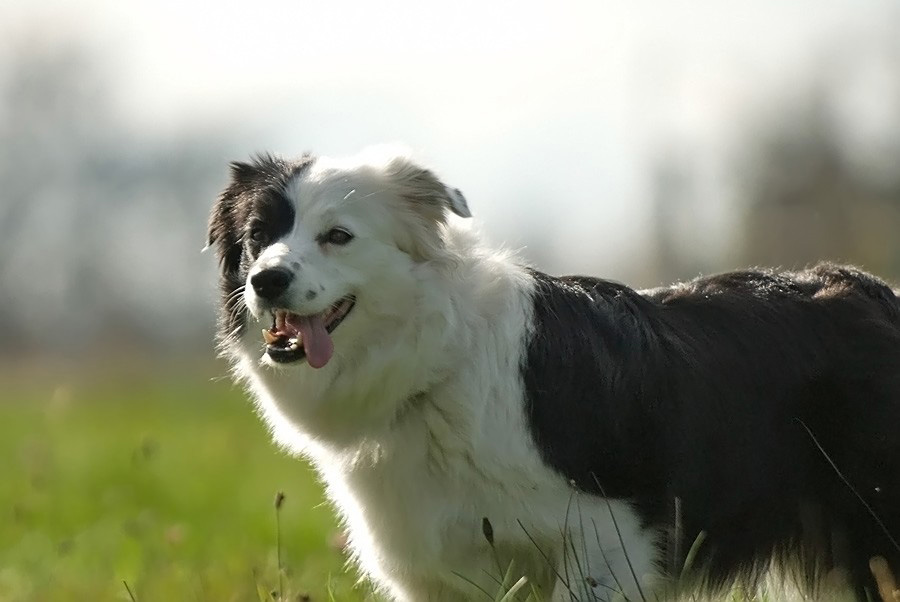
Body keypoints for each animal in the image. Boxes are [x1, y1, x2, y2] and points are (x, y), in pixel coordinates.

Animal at [207, 146, 900, 600]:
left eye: (338, 236)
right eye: (257, 236)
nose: (266, 280)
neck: (437, 366)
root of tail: (879, 293)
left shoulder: (608, 539)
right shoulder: (441, 570)